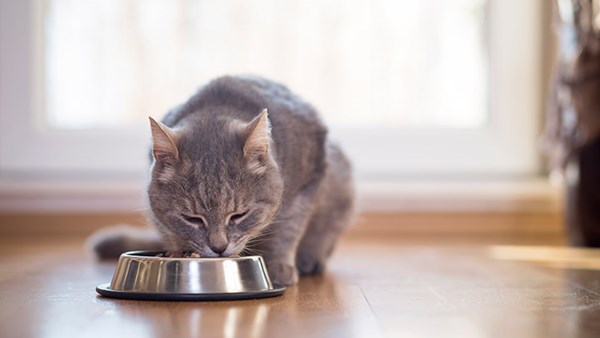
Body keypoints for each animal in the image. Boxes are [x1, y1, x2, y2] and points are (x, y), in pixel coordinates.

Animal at [90, 74, 356, 286]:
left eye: (239, 215)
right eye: (192, 218)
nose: (218, 248)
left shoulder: (307, 182)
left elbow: (288, 229)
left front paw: (279, 266)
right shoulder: (159, 213)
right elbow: (170, 230)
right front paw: (178, 252)